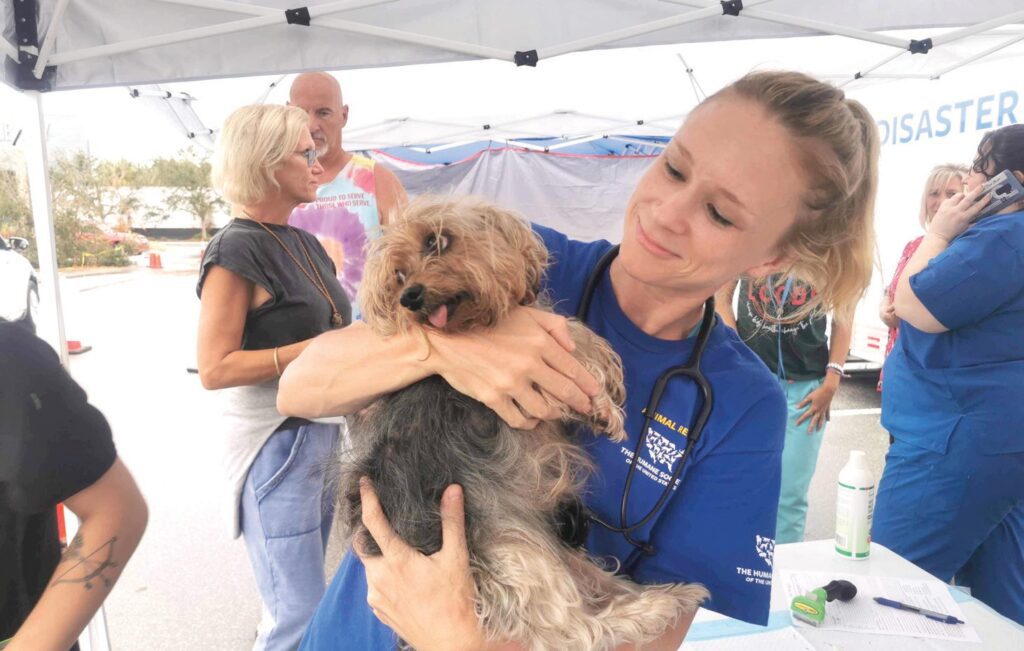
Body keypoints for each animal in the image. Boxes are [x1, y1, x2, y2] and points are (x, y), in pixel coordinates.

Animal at [342, 195, 704, 646]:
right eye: (398, 275)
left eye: (436, 240)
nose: (409, 296)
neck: (484, 322)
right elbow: (571, 335)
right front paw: (604, 406)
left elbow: (572, 330)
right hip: (514, 551)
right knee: (576, 630)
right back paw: (656, 608)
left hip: (543, 541)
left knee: (591, 582)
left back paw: (667, 594)